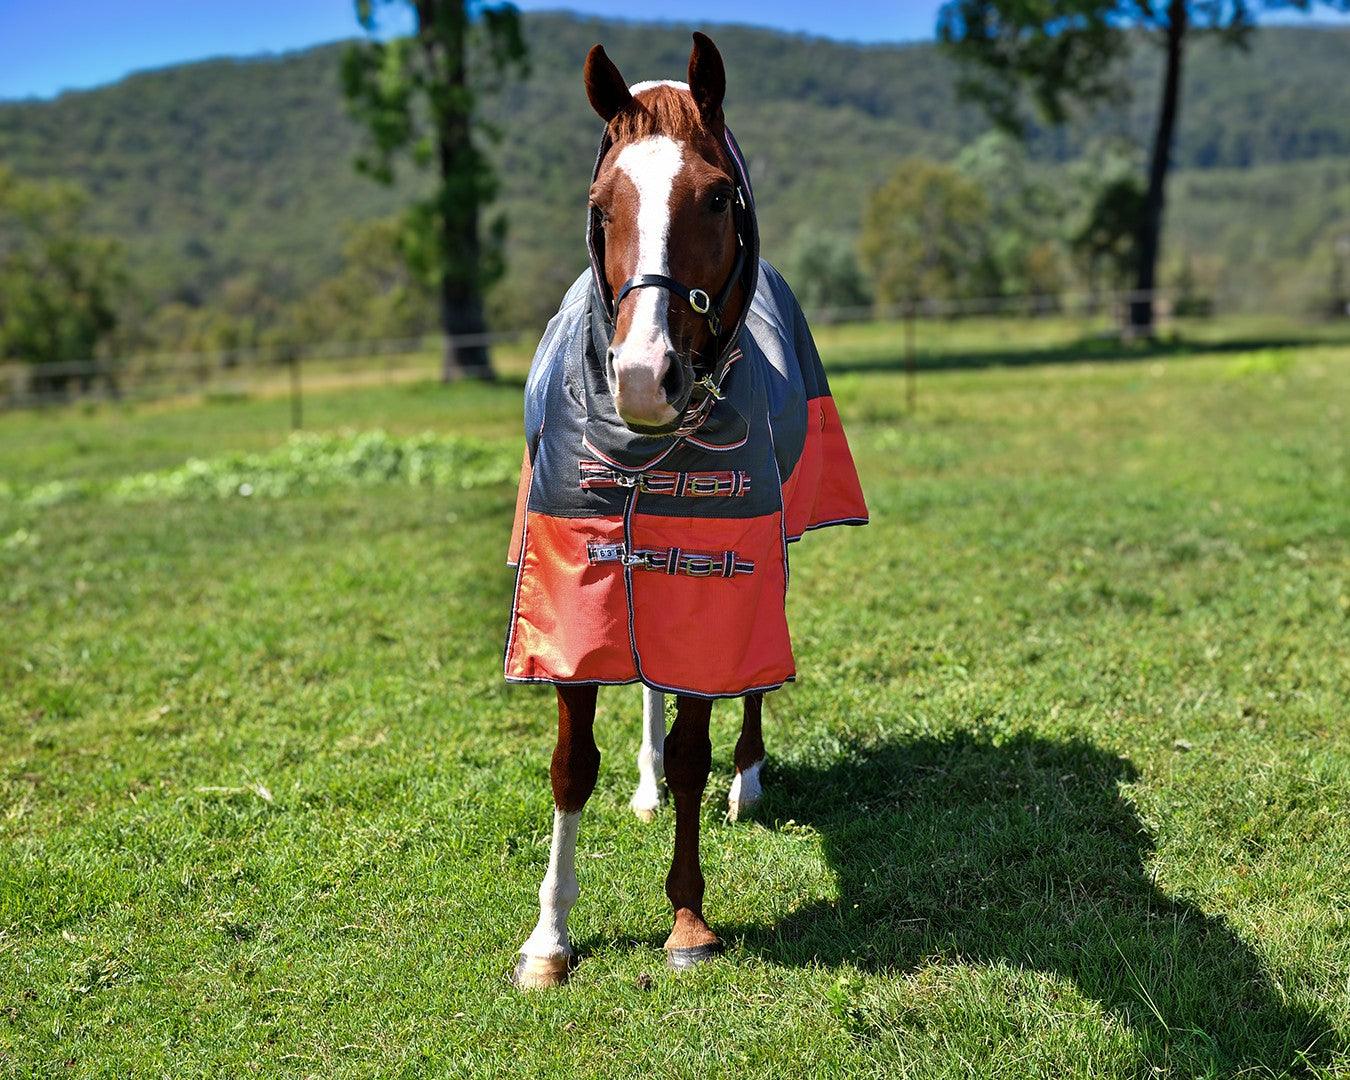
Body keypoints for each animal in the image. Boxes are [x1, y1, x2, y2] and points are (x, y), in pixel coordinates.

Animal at [504, 32, 868, 988]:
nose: (642, 375)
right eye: (602, 204)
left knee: (750, 687)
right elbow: (571, 764)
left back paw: (749, 782)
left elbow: (697, 741)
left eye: (714, 195)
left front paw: (688, 918)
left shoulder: (716, 577)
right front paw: (549, 939)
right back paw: (645, 785)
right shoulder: (574, 579)